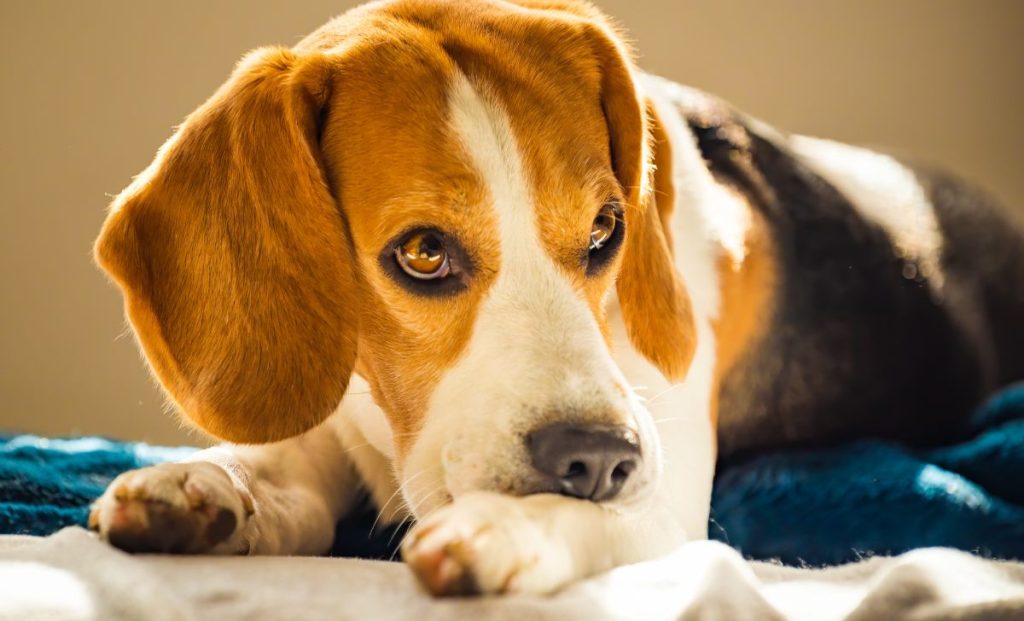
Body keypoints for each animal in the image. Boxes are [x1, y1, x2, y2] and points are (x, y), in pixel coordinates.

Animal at [90, 0, 1024, 598]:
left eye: (608, 228)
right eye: (422, 252)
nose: (599, 458)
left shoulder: (666, 497)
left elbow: (597, 513)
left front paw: (509, 526)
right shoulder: (332, 422)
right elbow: (278, 470)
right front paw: (200, 484)